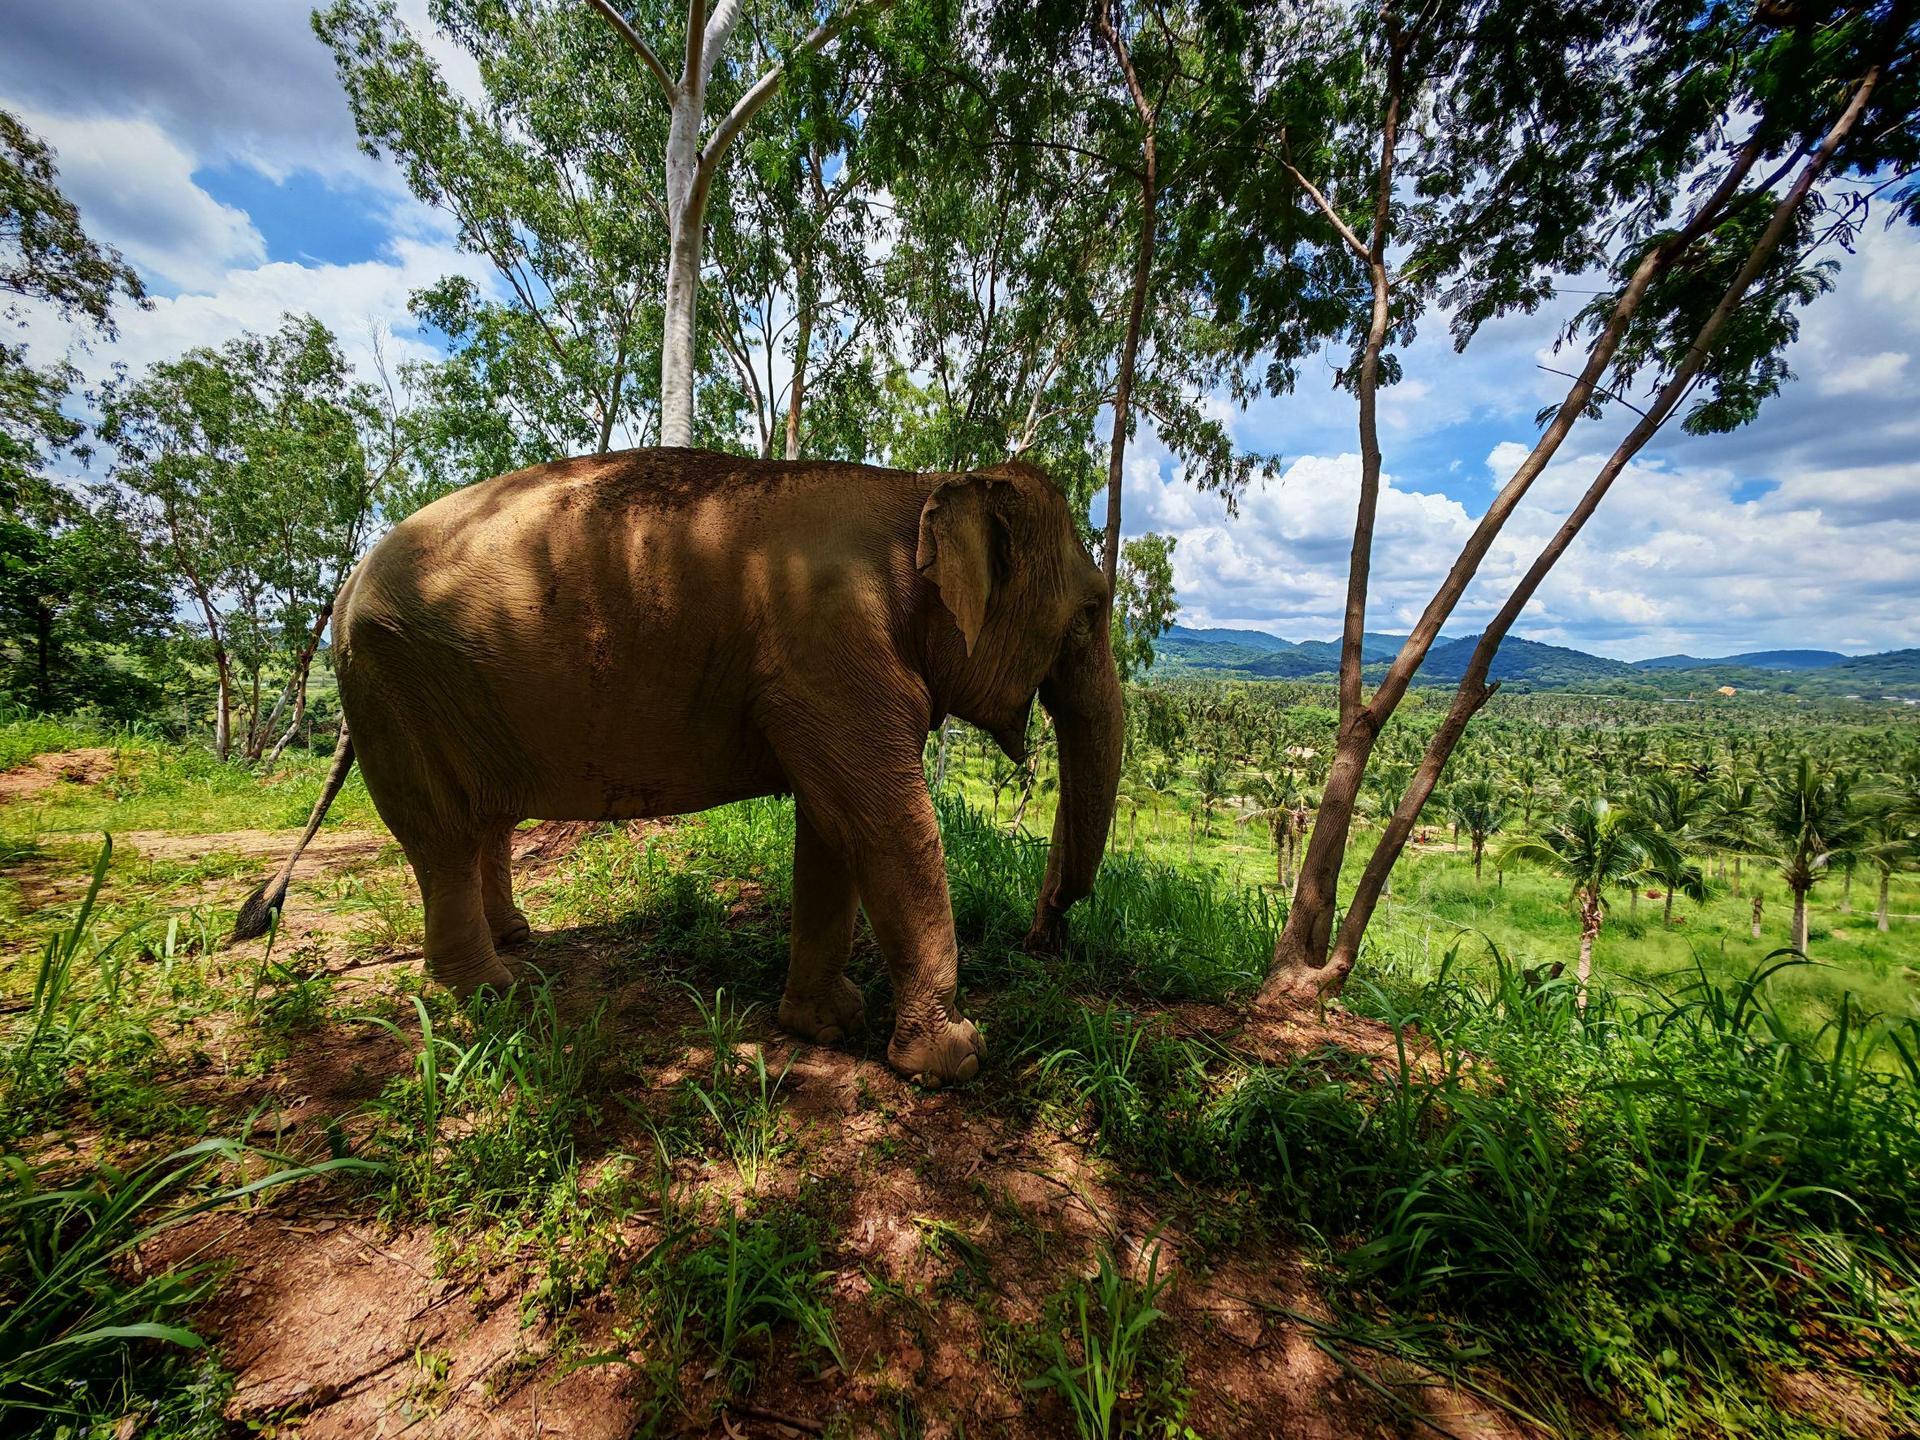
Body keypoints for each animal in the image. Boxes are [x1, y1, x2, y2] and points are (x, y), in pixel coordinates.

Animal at [234, 448, 1124, 1085]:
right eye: (1093, 609)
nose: (1047, 929)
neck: (923, 489)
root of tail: (349, 582)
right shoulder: (831, 656)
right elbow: (884, 823)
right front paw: (955, 1062)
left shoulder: (820, 678)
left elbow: (831, 825)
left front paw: (826, 1023)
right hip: (402, 684)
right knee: (444, 834)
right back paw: (497, 990)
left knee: (484, 819)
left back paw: (516, 941)